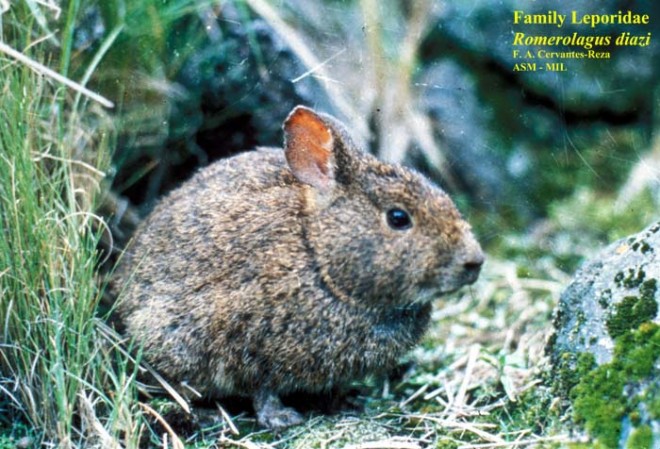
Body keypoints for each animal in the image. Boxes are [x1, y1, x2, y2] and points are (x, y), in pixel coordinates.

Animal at [113, 105, 484, 429]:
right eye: (398, 218)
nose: (475, 262)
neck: (319, 257)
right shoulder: (250, 343)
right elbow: (262, 390)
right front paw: (280, 418)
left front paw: (346, 400)